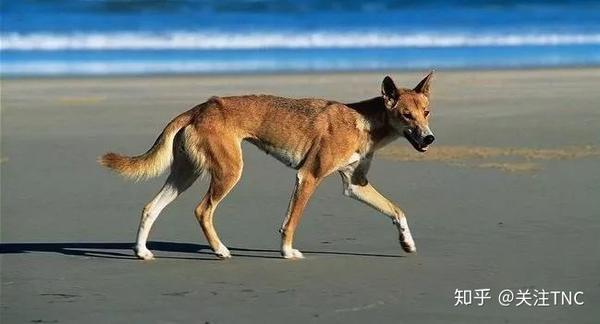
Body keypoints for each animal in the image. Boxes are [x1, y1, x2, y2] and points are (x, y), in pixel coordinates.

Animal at [99, 72, 436, 260]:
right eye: (406, 116)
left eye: (427, 112)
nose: (430, 138)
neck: (363, 123)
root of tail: (199, 108)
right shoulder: (308, 177)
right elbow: (292, 222)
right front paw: (287, 252)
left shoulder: (355, 185)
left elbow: (397, 211)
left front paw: (407, 243)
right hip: (229, 172)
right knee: (202, 210)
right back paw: (220, 250)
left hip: (186, 174)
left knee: (150, 207)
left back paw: (142, 252)